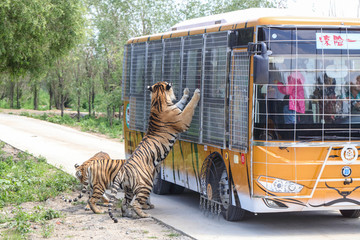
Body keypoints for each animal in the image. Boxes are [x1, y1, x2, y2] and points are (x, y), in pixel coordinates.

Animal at [108, 81, 201, 222]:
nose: (172, 85)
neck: (158, 100)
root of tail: (124, 169)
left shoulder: (177, 109)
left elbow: (181, 102)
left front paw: (185, 93)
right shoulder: (182, 119)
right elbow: (189, 107)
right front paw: (196, 93)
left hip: (129, 189)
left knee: (125, 203)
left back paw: (128, 214)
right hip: (146, 184)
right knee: (135, 203)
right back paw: (144, 215)